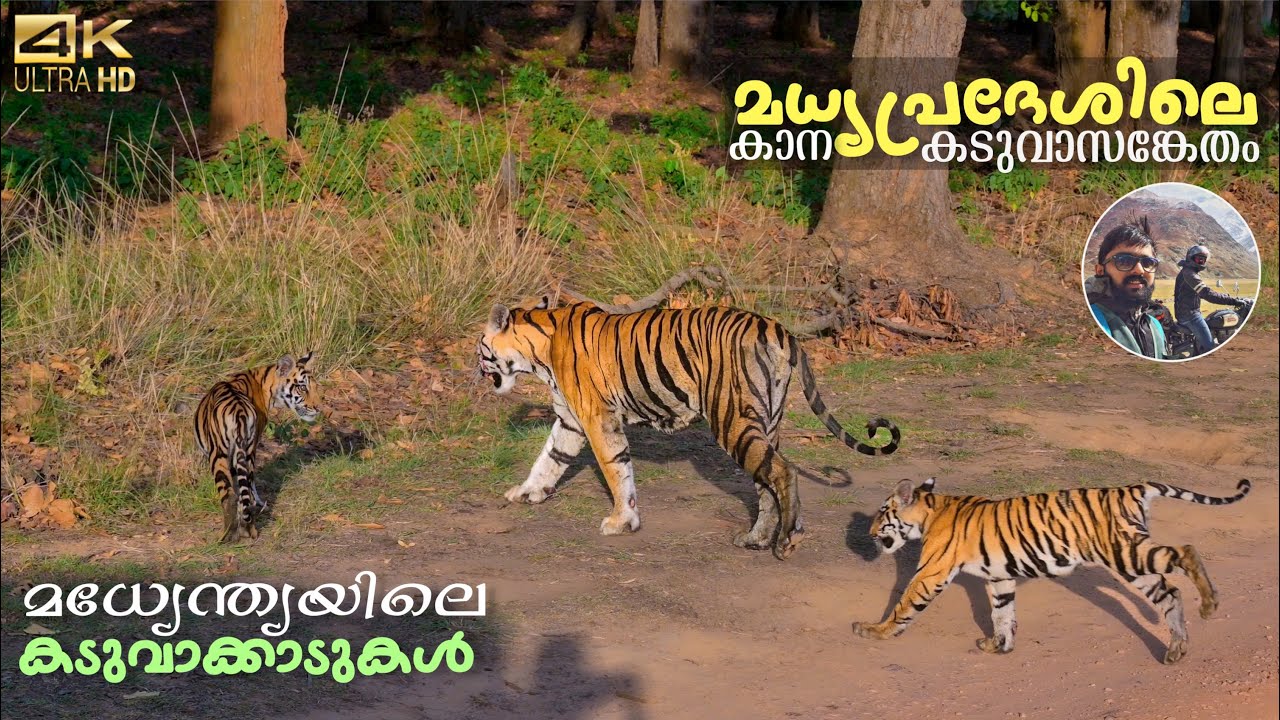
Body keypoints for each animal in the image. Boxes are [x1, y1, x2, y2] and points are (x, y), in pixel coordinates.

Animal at [194, 352, 320, 543]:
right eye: (302, 388)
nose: (318, 408)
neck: (265, 383)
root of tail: (238, 411)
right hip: (240, 449)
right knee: (242, 491)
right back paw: (245, 529)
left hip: (221, 452)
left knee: (232, 495)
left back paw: (231, 533)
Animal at [476, 297, 900, 560]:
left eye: (480, 347)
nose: (475, 371)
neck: (539, 352)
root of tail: (778, 328)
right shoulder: (570, 421)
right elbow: (548, 460)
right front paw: (526, 494)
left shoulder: (596, 418)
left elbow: (615, 470)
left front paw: (621, 521)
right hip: (765, 422)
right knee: (766, 481)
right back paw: (755, 540)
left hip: (732, 419)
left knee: (783, 472)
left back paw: (786, 541)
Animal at [852, 476, 1252, 664]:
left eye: (882, 514)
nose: (869, 534)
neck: (930, 510)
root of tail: (1131, 487)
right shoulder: (1000, 577)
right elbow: (1003, 614)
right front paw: (998, 645)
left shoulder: (930, 573)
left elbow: (903, 606)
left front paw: (875, 631)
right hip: (1134, 565)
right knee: (1170, 593)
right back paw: (1176, 649)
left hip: (1127, 553)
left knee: (1187, 552)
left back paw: (1210, 604)